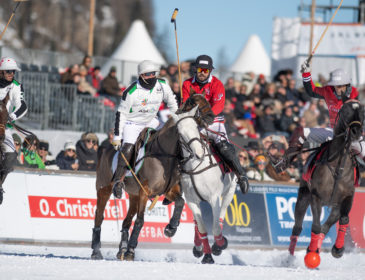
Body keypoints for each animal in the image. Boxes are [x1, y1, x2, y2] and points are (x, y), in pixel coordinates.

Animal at [90, 106, 203, 262]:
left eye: (197, 128)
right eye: (182, 132)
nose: (199, 154)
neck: (163, 157)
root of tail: (105, 149)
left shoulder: (168, 191)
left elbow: (180, 202)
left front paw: (170, 228)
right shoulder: (145, 191)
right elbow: (140, 221)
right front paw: (131, 251)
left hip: (133, 195)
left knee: (126, 221)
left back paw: (122, 250)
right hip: (104, 189)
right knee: (99, 216)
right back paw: (96, 251)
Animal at [178, 93, 237, 264]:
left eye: (194, 128)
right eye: (180, 133)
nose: (198, 153)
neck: (196, 166)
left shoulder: (214, 197)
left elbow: (216, 226)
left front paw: (220, 245)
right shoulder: (191, 200)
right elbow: (202, 227)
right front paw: (207, 255)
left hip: (230, 190)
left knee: (221, 216)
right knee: (197, 224)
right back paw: (198, 247)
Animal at [288, 100, 364, 264]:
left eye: (363, 112)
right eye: (345, 111)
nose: (356, 131)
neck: (338, 165)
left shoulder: (348, 196)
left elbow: (344, 218)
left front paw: (338, 249)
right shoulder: (316, 196)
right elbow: (315, 226)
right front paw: (311, 253)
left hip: (334, 205)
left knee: (326, 226)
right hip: (303, 196)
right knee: (297, 227)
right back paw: (289, 259)